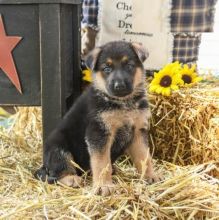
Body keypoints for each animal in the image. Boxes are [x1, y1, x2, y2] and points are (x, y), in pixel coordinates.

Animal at [35, 40, 160, 195]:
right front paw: (103, 186)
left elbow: (144, 157)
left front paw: (150, 176)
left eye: (129, 66)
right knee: (58, 170)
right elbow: (101, 162)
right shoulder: (99, 133)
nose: (119, 86)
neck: (122, 103)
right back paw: (71, 179)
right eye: (107, 69)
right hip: (58, 146)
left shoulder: (138, 131)